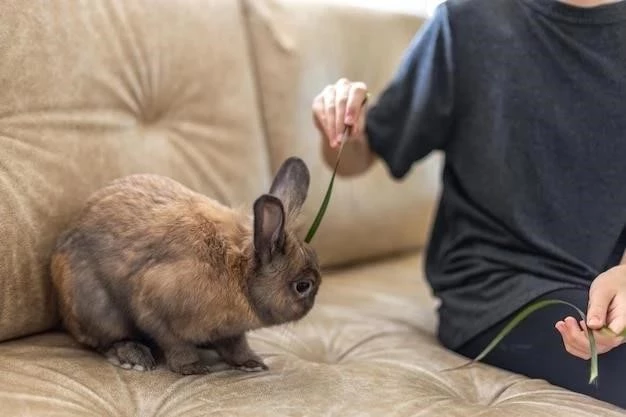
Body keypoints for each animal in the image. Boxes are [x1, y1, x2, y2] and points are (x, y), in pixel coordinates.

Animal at [49, 156, 320, 374]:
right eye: (303, 286)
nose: (312, 304)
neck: (239, 274)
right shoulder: (153, 307)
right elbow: (175, 343)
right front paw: (192, 368)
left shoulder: (231, 332)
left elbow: (236, 345)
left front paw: (251, 363)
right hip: (95, 307)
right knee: (107, 340)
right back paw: (134, 358)